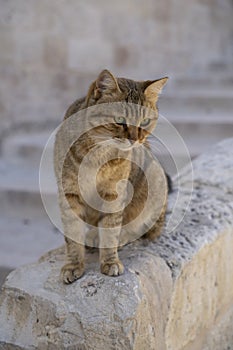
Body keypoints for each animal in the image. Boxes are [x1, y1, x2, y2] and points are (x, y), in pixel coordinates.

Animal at [53, 69, 168, 284]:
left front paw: (110, 261)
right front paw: (73, 265)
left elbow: (111, 230)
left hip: (155, 183)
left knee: (142, 229)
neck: (98, 153)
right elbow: (72, 235)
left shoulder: (114, 194)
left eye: (145, 122)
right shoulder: (69, 193)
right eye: (120, 120)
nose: (135, 139)